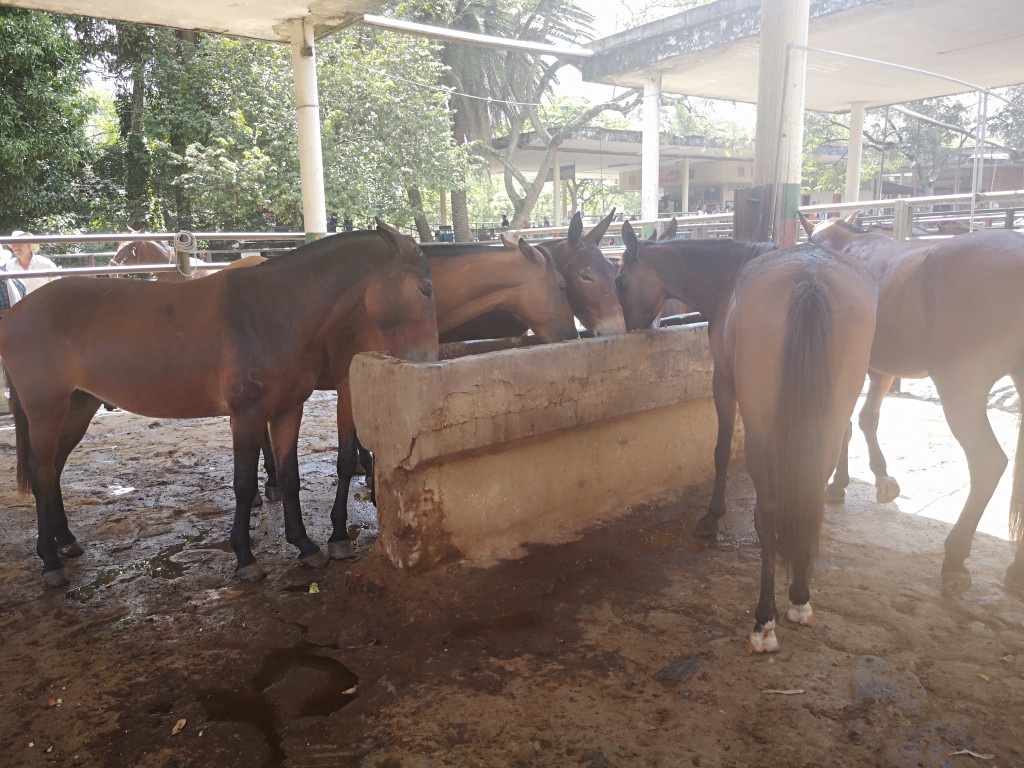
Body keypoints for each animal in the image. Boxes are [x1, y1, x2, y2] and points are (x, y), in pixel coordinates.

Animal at [0, 225, 439, 587]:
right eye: (426, 290)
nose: (429, 358)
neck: (276, 309)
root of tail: (16, 314)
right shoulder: (246, 417)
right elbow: (244, 485)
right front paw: (246, 558)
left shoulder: (287, 411)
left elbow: (290, 477)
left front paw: (305, 546)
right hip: (46, 411)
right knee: (41, 474)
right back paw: (50, 562)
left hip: (76, 408)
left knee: (53, 471)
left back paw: (65, 541)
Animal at [615, 221, 877, 652]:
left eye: (619, 280)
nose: (630, 326)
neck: (730, 274)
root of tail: (809, 280)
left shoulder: (723, 381)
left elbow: (721, 450)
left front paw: (711, 517)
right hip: (830, 420)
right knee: (812, 492)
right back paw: (800, 597)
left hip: (760, 429)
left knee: (767, 511)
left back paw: (765, 619)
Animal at [800, 211, 1024, 596]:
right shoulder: (881, 370)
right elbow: (866, 419)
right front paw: (876, 479)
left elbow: (846, 423)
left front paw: (837, 483)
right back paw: (1015, 570)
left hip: (960, 384)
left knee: (987, 462)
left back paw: (955, 558)